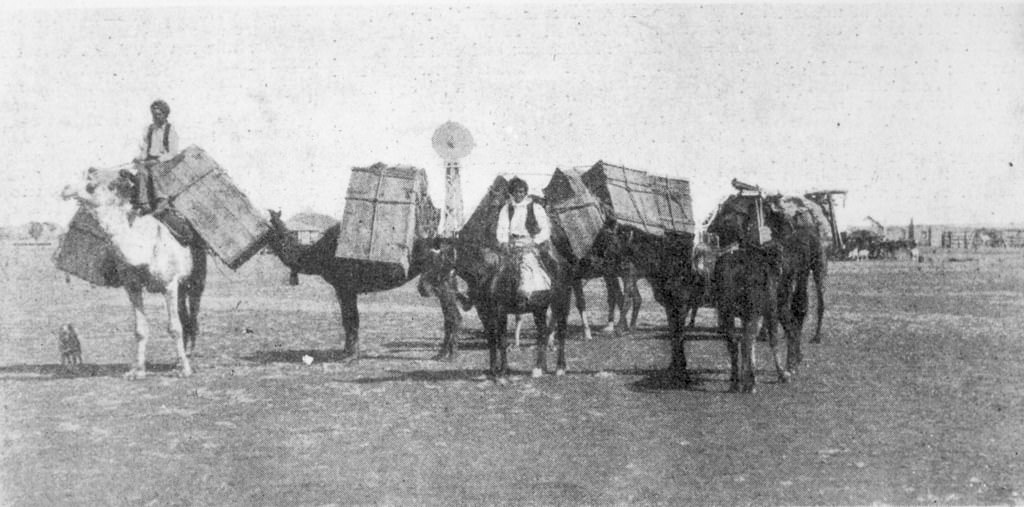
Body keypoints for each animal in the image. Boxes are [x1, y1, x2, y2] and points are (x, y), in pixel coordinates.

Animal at [60, 169, 205, 378]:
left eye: (91, 184)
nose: (65, 189)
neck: (142, 246)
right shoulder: (132, 286)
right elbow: (140, 329)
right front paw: (137, 371)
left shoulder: (168, 284)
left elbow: (174, 327)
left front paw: (185, 370)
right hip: (181, 284)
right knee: (184, 315)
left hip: (196, 278)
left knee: (192, 315)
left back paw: (187, 356)